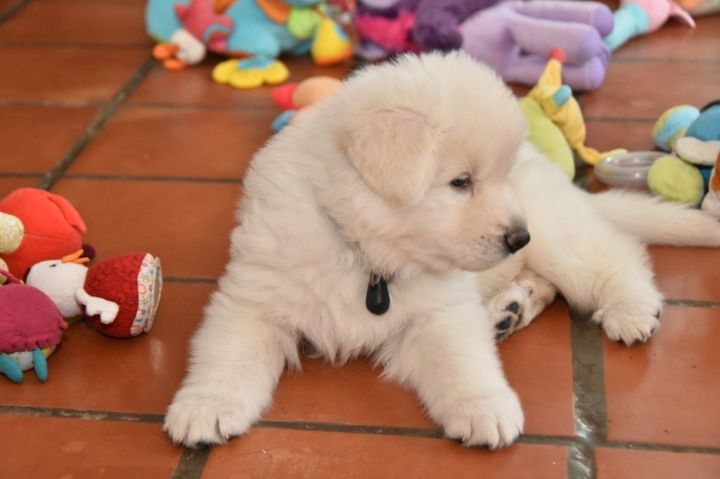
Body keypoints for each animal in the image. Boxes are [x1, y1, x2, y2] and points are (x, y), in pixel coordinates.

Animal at [164, 52, 720, 449]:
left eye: (495, 176)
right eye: (461, 182)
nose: (518, 237)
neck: (365, 253)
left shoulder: (440, 310)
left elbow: (461, 359)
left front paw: (484, 407)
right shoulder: (255, 294)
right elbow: (228, 352)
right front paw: (204, 406)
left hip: (560, 233)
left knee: (612, 254)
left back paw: (631, 309)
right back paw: (511, 309)